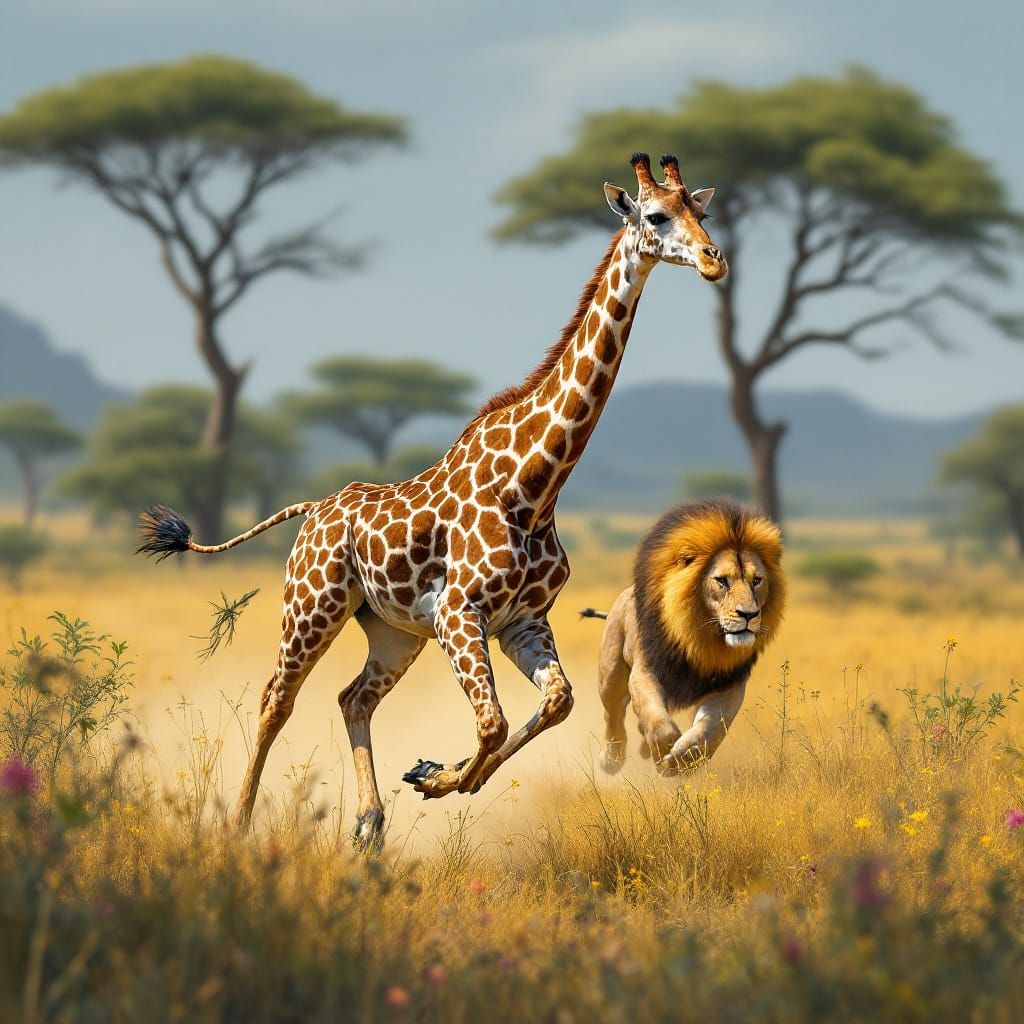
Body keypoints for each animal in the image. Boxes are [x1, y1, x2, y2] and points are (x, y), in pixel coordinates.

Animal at [138, 153, 727, 850]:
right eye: (657, 216)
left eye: (702, 209)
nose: (715, 259)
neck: (535, 486)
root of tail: (312, 510)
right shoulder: (458, 613)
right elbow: (493, 721)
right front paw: (443, 776)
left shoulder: (523, 620)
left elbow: (554, 704)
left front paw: (440, 774)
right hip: (312, 608)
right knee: (276, 699)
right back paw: (237, 825)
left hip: (393, 631)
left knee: (353, 698)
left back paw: (369, 823)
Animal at [583, 499, 785, 776]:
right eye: (722, 581)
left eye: (756, 580)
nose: (749, 614)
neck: (701, 637)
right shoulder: (645, 671)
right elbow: (657, 720)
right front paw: (663, 754)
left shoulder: (729, 685)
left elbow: (710, 729)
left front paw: (683, 759)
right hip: (611, 674)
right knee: (612, 714)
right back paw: (611, 759)